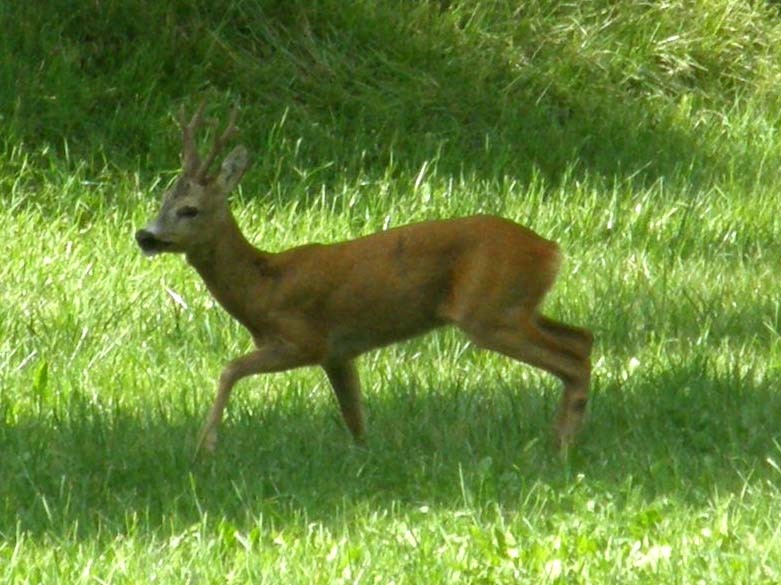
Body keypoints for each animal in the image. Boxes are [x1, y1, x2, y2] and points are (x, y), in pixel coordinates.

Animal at [136, 101, 592, 456]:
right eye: (162, 201)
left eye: (190, 209)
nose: (145, 236)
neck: (263, 284)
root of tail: (552, 250)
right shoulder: (339, 353)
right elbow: (354, 416)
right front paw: (365, 457)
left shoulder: (305, 339)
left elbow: (229, 369)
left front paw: (205, 447)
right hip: (516, 306)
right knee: (582, 338)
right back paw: (559, 440)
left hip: (488, 311)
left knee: (572, 359)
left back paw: (562, 448)